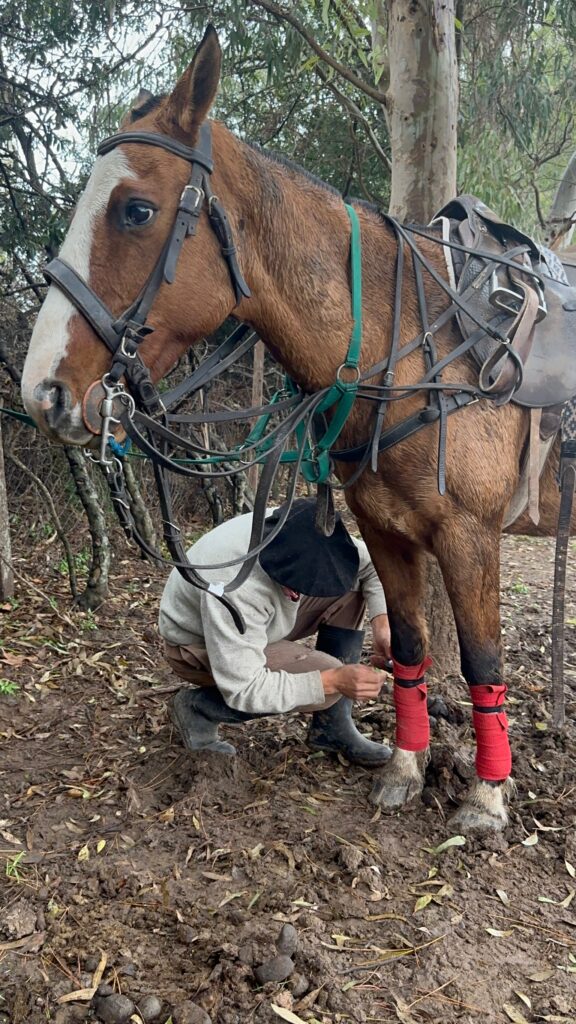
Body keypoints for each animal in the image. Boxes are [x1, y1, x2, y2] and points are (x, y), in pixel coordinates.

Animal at [20, 28, 569, 831]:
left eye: (136, 211)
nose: (43, 391)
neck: (422, 343)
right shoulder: (387, 530)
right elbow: (409, 646)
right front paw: (405, 768)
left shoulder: (470, 537)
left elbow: (483, 662)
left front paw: (486, 797)